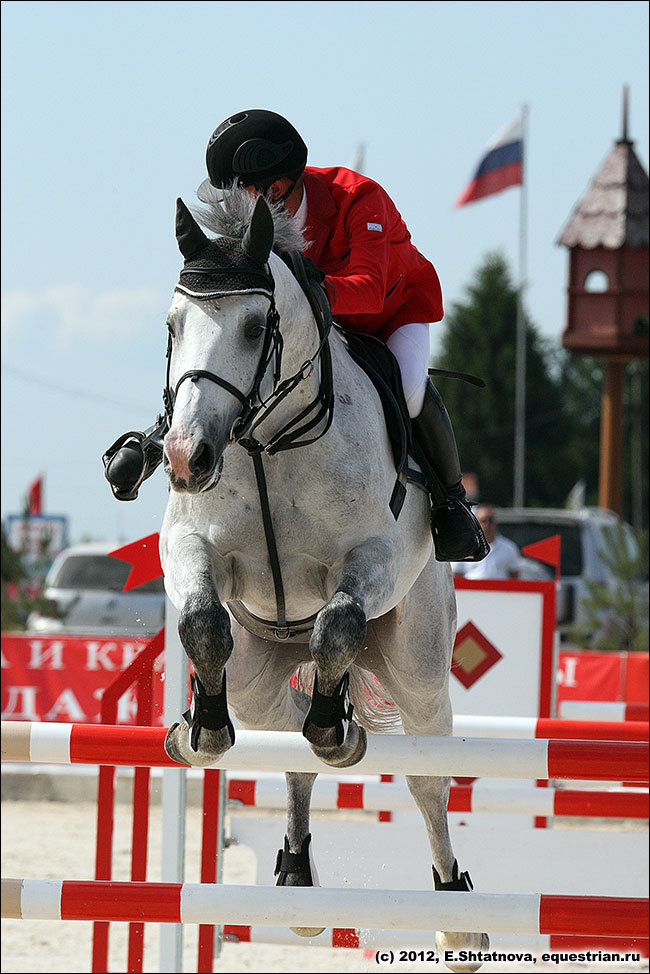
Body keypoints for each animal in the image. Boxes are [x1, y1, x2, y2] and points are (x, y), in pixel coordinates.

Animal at [159, 187, 486, 972]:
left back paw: (456, 914)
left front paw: (336, 730)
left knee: (427, 776)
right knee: (282, 739)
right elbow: (201, 622)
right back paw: (296, 881)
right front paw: (198, 730)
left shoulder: (372, 560)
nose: (184, 457)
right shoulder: (188, 546)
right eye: (174, 324)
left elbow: (338, 624)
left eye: (255, 326)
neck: (265, 442)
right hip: (256, 666)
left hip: (419, 667)